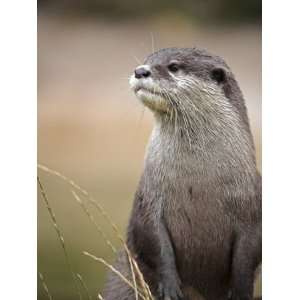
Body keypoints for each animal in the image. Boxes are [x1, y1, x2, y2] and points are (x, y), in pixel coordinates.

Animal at [102, 48, 260, 300]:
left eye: (174, 67)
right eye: (147, 60)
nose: (140, 71)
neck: (199, 182)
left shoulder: (253, 211)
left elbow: (246, 260)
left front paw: (240, 293)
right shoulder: (149, 200)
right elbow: (155, 242)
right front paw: (170, 288)